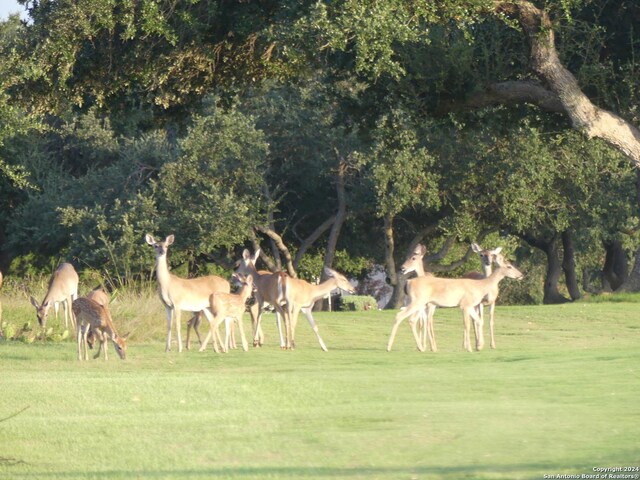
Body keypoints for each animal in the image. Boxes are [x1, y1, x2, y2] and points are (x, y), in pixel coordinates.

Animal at [388, 244, 524, 352]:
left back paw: (418, 347)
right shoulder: (466, 304)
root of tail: (408, 282)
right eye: (509, 266)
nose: (521, 275)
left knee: (413, 319)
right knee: (403, 317)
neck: (481, 286)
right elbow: (467, 324)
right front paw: (470, 348)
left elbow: (478, 321)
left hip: (419, 303)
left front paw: (478, 346)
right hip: (418, 301)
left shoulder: (470, 305)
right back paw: (392, 347)